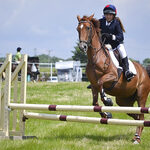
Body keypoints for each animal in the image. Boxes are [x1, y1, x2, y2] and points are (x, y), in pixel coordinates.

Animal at [77, 14, 150, 144]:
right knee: (135, 115)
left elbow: (101, 82)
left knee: (141, 115)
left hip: (141, 95)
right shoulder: (93, 86)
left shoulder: (112, 76)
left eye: (88, 28)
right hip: (123, 100)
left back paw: (137, 138)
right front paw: (106, 115)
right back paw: (135, 134)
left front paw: (107, 100)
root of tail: (144, 72)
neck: (96, 57)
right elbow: (95, 103)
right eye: (77, 29)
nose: (82, 46)